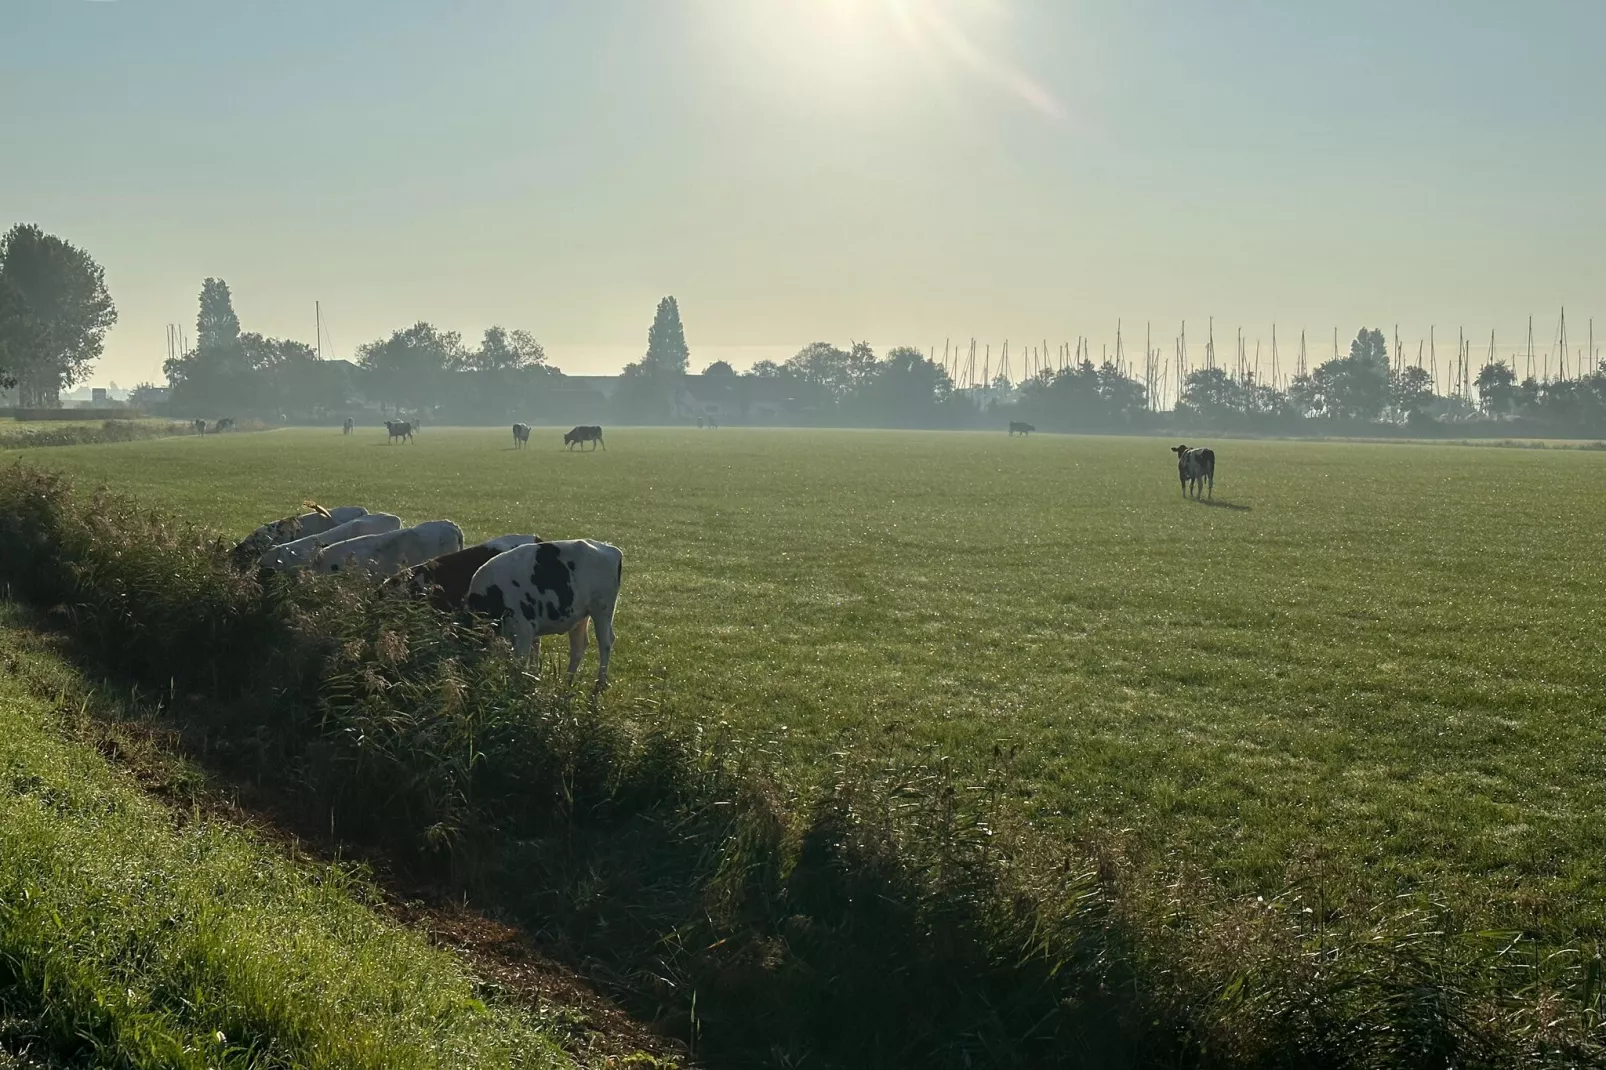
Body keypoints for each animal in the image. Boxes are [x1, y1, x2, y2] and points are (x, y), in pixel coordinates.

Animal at [465, 536, 619, 687]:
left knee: (605, 642)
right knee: (579, 645)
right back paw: (567, 682)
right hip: (581, 615)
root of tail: (609, 547)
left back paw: (600, 683)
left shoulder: (524, 631)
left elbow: (519, 664)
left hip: (602, 610)